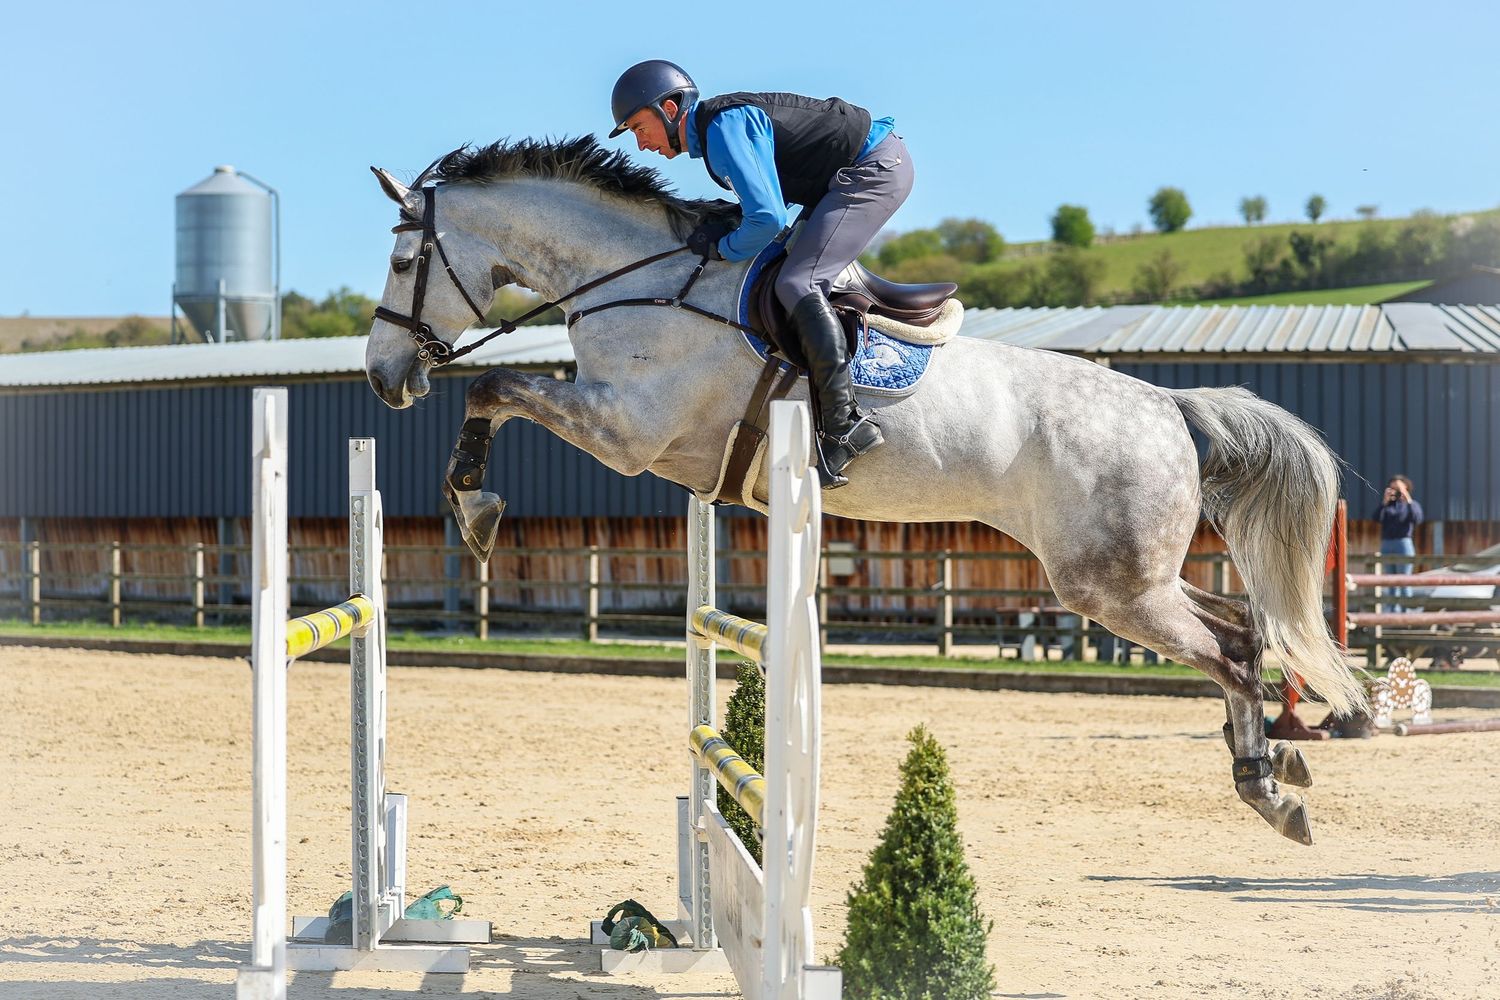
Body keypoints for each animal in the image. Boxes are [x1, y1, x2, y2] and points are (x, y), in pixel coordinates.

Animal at [364, 136, 1364, 845]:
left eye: (403, 261)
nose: (383, 377)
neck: (641, 282)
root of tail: (1170, 405)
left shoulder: (626, 432)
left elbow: (497, 387)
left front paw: (475, 508)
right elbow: (498, 393)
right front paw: (474, 502)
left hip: (1107, 585)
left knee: (1228, 651)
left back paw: (1267, 789)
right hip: (1132, 572)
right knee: (1244, 628)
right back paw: (1278, 763)